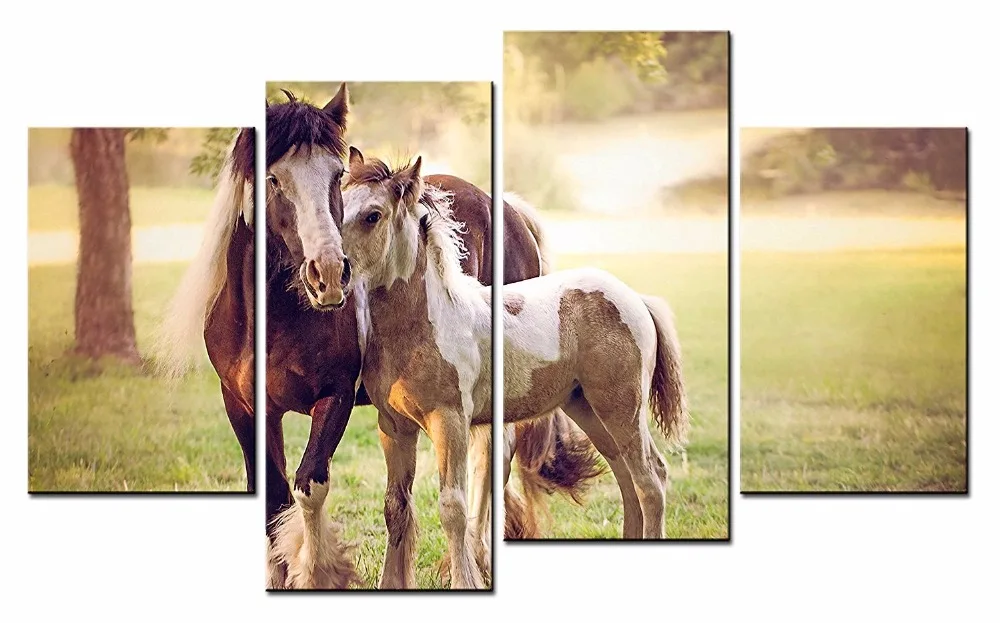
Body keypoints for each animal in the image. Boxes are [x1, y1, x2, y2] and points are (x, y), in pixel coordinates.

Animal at [340, 149, 691, 588]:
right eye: (337, 202)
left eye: (373, 215)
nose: (325, 270)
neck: (425, 322)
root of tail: (635, 298)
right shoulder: (394, 426)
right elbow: (395, 505)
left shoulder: (450, 421)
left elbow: (452, 508)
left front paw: (465, 580)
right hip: (589, 409)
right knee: (627, 476)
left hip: (622, 408)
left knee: (651, 479)